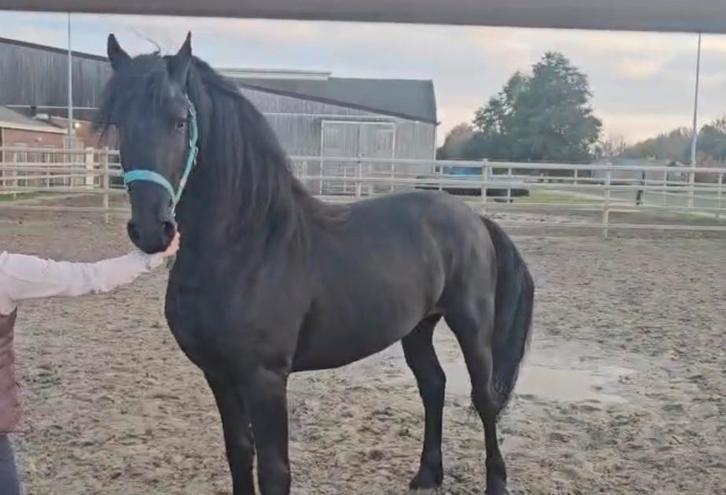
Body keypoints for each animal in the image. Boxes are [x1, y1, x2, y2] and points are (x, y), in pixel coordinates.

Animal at [96, 32, 535, 495]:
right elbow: (239, 455)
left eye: (180, 121)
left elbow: (275, 471)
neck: (246, 247)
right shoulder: (219, 375)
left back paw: (496, 482)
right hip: (418, 326)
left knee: (484, 399)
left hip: (471, 323)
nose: (152, 229)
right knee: (433, 385)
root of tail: (472, 217)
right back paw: (427, 475)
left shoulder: (265, 379)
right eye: (119, 123)